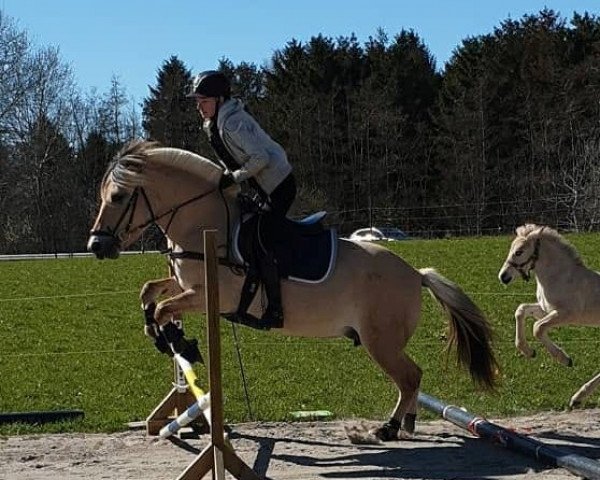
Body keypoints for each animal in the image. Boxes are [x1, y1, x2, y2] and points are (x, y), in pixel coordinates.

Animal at [85, 138, 496, 438]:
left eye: (118, 197)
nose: (96, 246)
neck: (203, 220)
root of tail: (415, 273)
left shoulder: (210, 296)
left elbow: (163, 307)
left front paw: (177, 341)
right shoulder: (186, 285)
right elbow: (149, 293)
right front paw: (161, 335)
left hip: (381, 342)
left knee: (410, 377)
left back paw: (389, 428)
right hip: (386, 342)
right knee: (412, 379)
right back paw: (407, 424)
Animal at [496, 224, 600, 404]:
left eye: (519, 252)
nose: (503, 277)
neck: (560, 277)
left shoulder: (566, 315)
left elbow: (537, 327)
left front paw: (564, 359)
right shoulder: (546, 310)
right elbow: (521, 310)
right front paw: (528, 351)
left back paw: (578, 396)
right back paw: (578, 398)